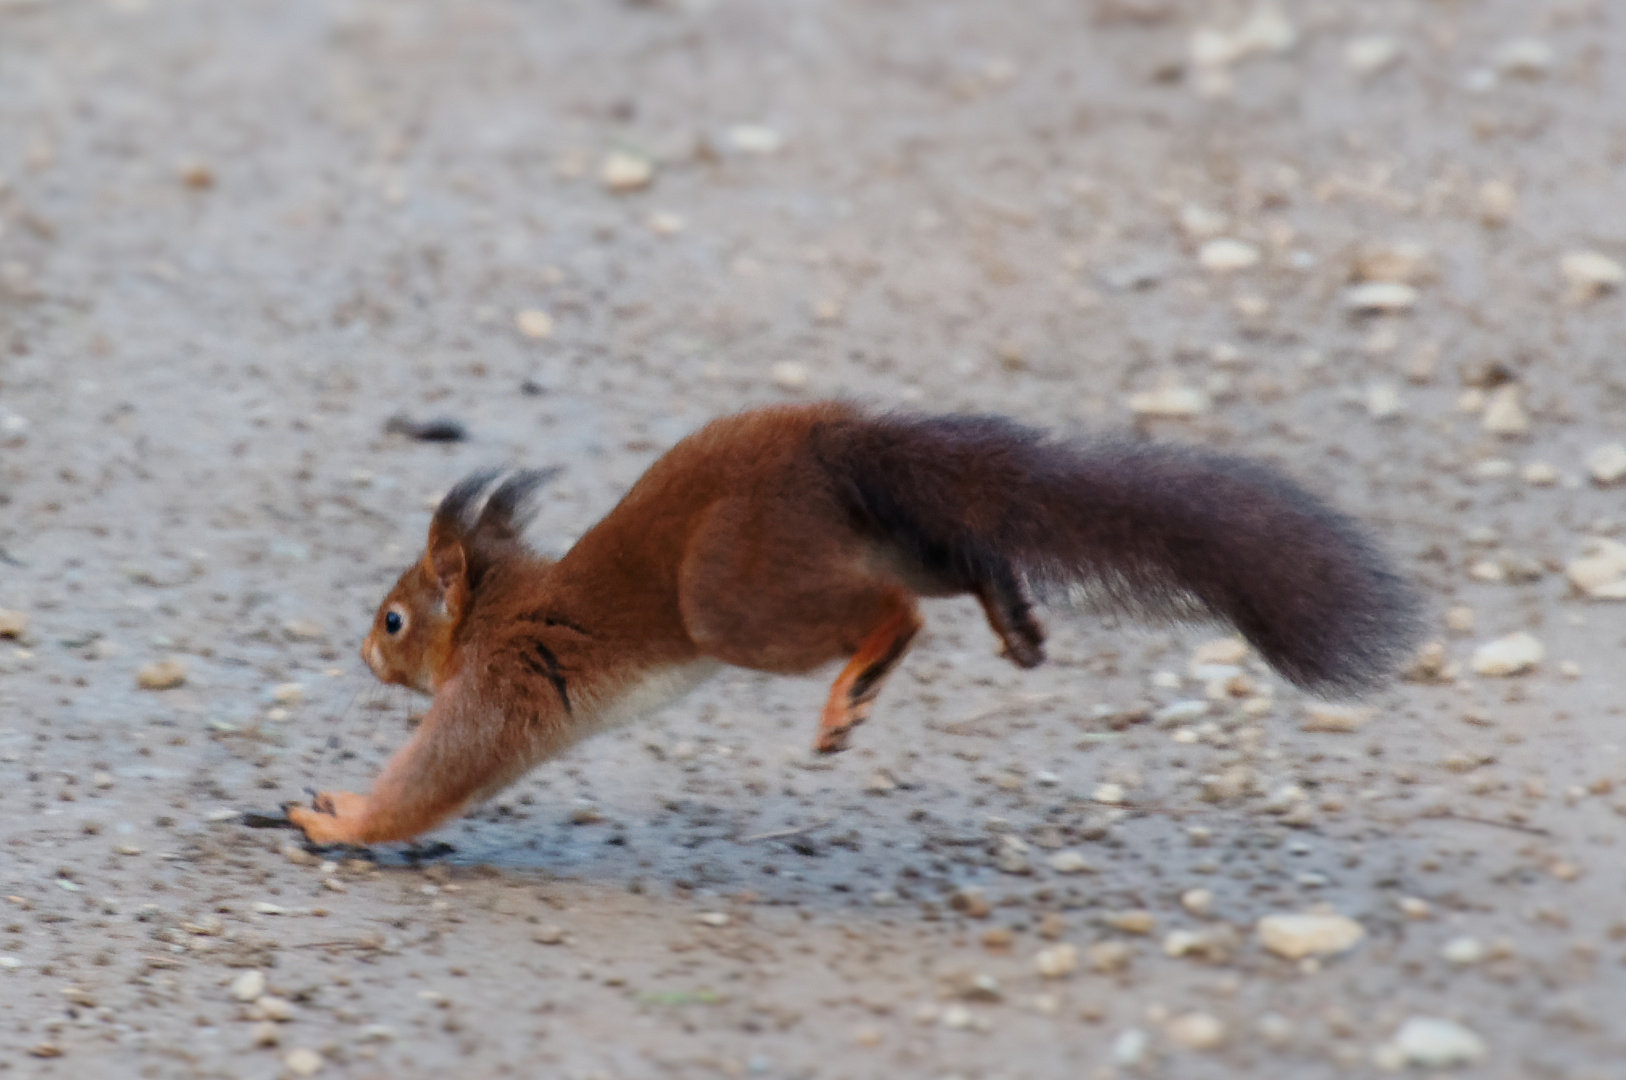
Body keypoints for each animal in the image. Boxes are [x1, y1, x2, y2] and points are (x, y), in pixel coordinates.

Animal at [286, 400, 1417, 845]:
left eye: (395, 619)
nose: (361, 650)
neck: (500, 601)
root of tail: (828, 441)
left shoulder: (501, 682)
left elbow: (438, 774)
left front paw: (339, 816)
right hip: (876, 532)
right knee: (959, 556)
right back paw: (1012, 615)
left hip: (737, 595)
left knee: (895, 610)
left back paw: (856, 688)